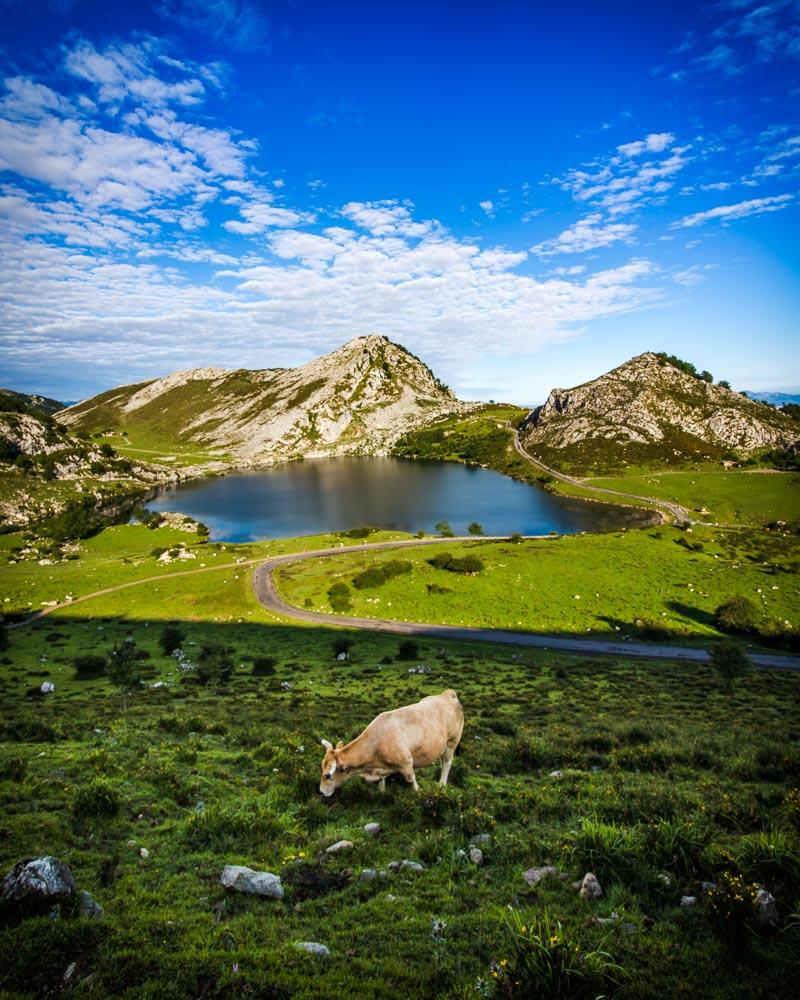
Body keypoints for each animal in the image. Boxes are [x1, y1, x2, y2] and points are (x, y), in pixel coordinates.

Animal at [320, 688, 462, 796]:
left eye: (328, 776)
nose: (321, 791)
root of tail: (447, 694)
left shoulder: (406, 762)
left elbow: (411, 779)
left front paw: (417, 792)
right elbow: (382, 779)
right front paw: (381, 790)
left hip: (451, 742)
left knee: (447, 763)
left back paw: (441, 785)